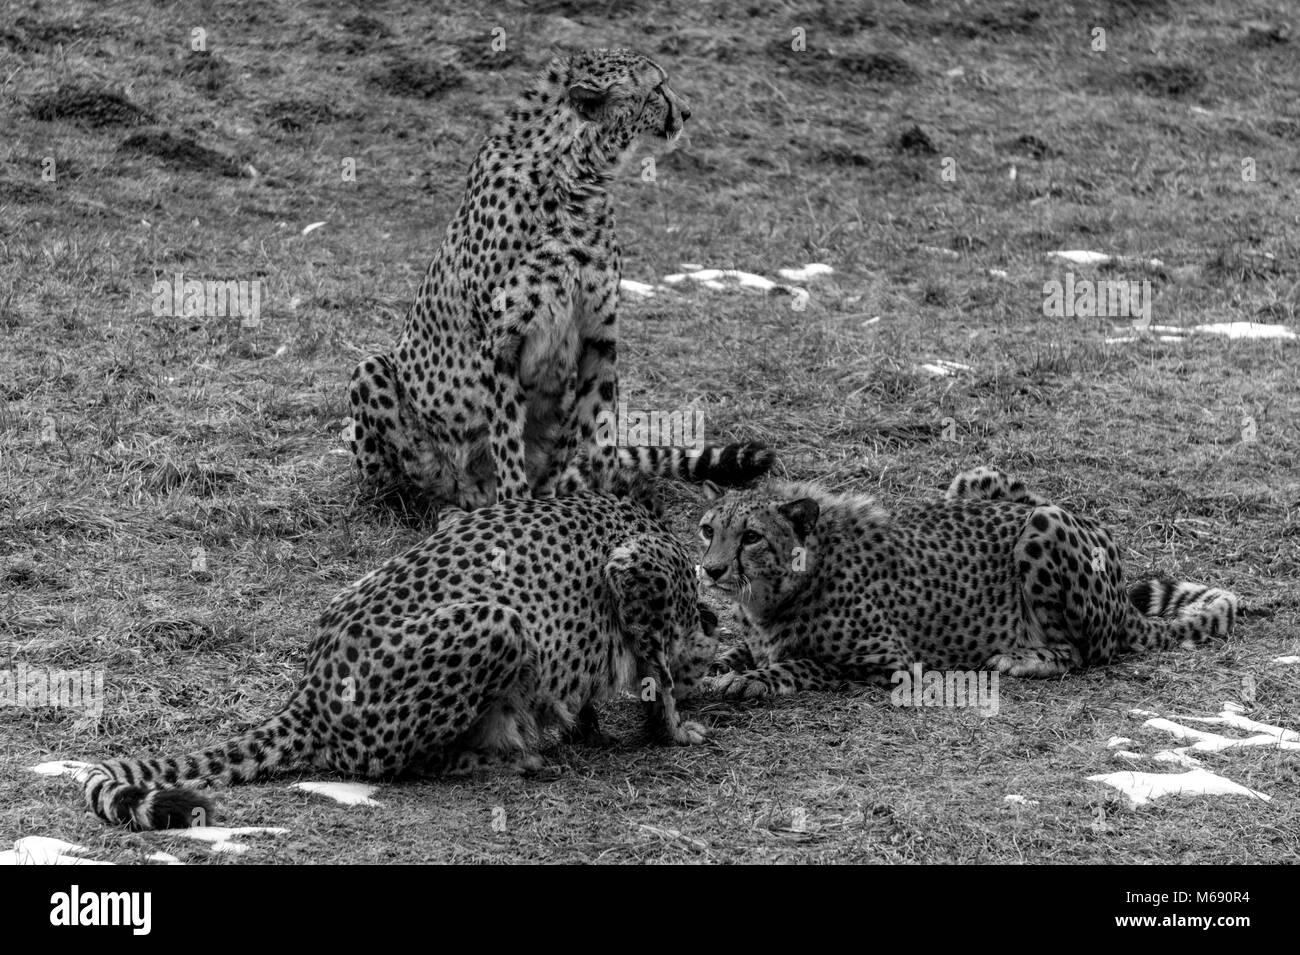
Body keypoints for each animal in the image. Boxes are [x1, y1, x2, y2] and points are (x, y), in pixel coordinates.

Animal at [76, 485, 717, 831]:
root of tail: (311, 687)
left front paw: (590, 725)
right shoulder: (637, 568)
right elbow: (658, 670)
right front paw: (675, 729)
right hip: (499, 625)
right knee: (395, 765)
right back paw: (504, 759)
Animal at [345, 50, 769, 514]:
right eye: (657, 88)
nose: (688, 112)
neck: (576, 177)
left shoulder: (598, 337)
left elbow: (601, 430)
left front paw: (602, 505)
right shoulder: (499, 346)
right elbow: (506, 438)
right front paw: (516, 512)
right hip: (372, 373)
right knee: (404, 479)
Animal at [696, 467, 1242, 696]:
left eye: (750, 537)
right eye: (708, 530)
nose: (711, 569)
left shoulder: (893, 663)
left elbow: (805, 662)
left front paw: (752, 679)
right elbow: (736, 651)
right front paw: (715, 666)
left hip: (1045, 522)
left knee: (1082, 652)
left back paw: (1020, 659)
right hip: (976, 480)